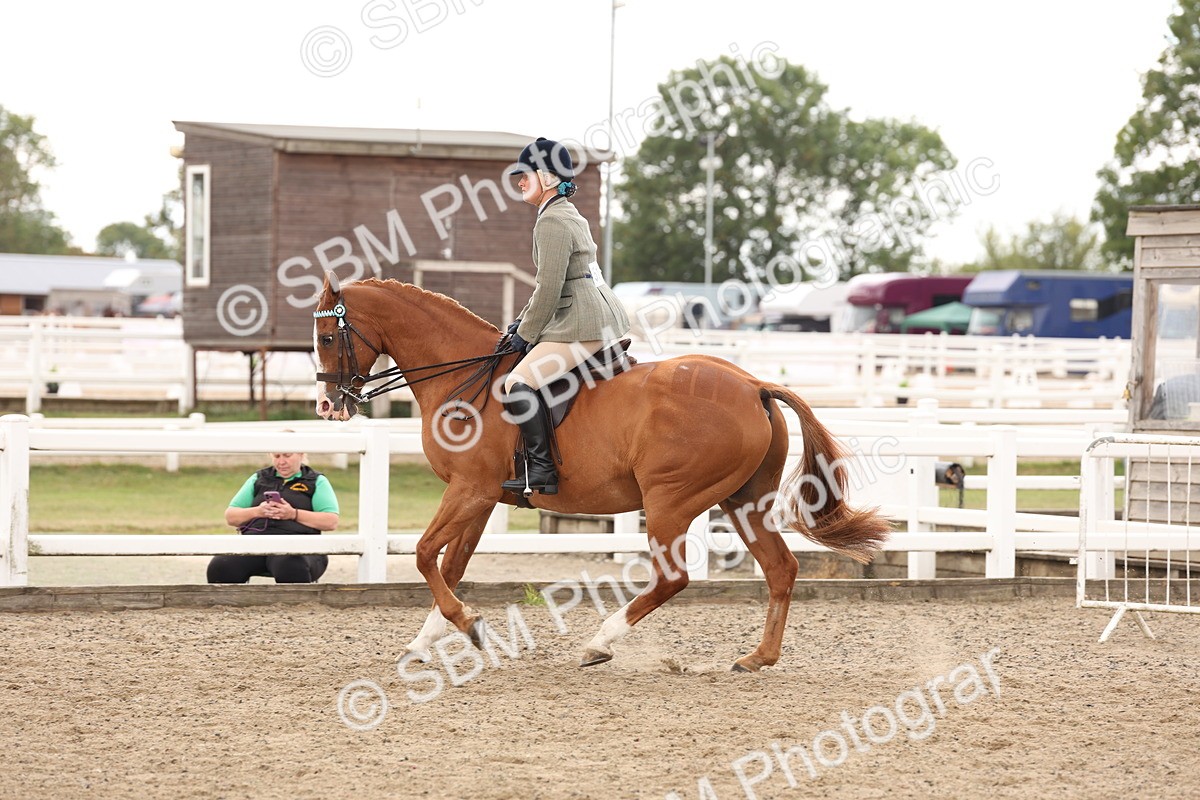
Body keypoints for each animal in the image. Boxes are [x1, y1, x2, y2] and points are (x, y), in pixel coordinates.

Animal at [313, 275, 891, 672]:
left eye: (325, 337)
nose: (327, 405)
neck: (463, 376)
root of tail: (753, 385)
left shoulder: (470, 490)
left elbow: (422, 554)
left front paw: (468, 624)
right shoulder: (481, 497)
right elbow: (449, 565)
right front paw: (428, 640)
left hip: (670, 501)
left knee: (673, 577)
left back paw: (599, 643)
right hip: (743, 501)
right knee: (780, 569)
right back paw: (757, 658)